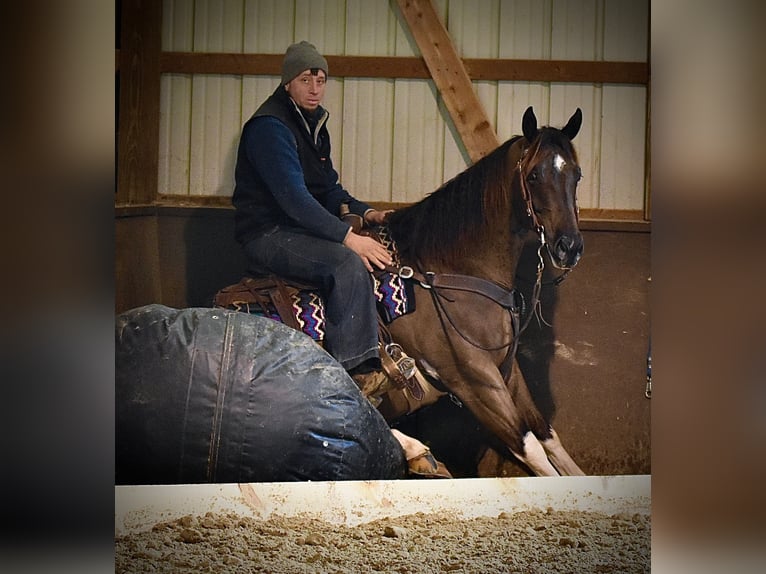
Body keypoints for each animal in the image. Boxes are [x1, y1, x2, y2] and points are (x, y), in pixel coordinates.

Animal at [382, 106, 585, 476]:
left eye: (576, 175)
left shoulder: (507, 371)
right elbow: (532, 450)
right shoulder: (475, 382)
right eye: (534, 175)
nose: (570, 247)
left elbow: (549, 437)